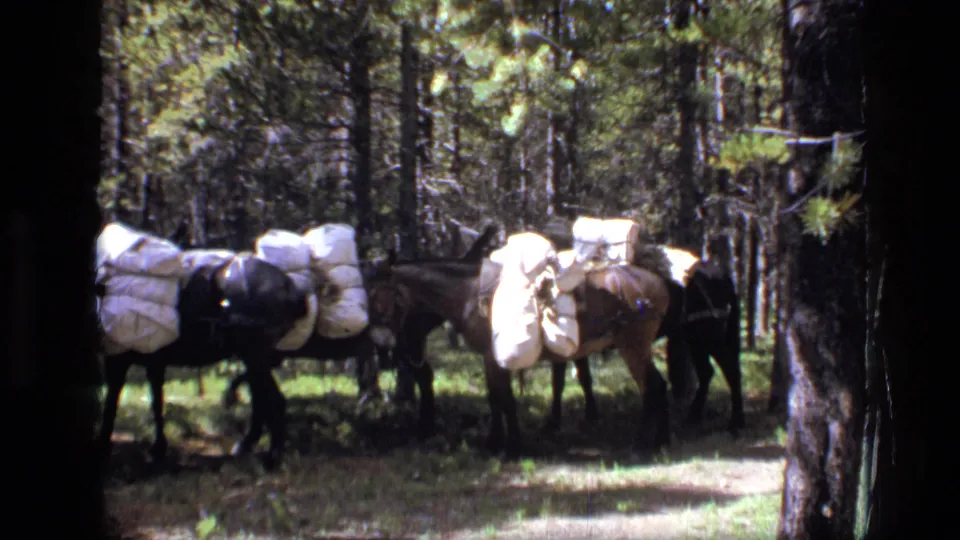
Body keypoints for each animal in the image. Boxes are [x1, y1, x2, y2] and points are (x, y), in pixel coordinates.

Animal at [96, 249, 309, 470]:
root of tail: (292, 290)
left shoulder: (119, 360)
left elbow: (112, 404)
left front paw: (103, 450)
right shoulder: (153, 361)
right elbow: (156, 402)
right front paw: (157, 450)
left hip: (255, 355)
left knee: (274, 400)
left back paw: (271, 458)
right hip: (254, 358)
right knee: (264, 400)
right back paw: (253, 448)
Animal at [365, 250, 673, 460]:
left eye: (376, 295)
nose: (379, 340)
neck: (469, 293)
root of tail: (658, 283)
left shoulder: (495, 358)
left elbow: (506, 400)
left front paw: (513, 447)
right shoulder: (489, 358)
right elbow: (495, 399)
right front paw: (493, 442)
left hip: (633, 347)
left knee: (652, 387)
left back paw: (642, 443)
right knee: (659, 386)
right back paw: (660, 439)